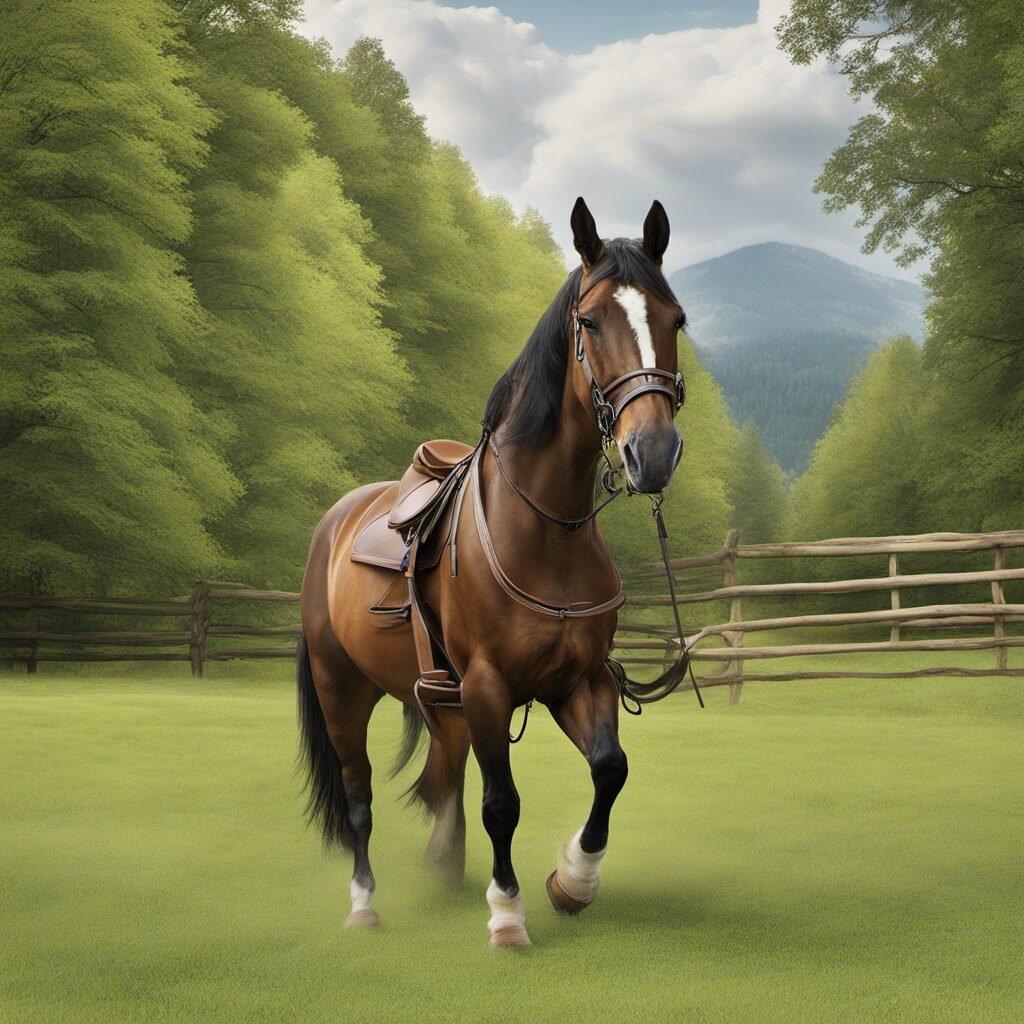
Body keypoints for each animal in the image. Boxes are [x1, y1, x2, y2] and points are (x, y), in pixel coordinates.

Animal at [297, 197, 687, 948]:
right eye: (590, 323)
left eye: (674, 319)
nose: (651, 451)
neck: (548, 528)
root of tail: (336, 520)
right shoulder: (486, 685)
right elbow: (501, 803)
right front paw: (507, 912)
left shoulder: (578, 680)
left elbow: (610, 770)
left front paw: (572, 880)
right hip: (343, 689)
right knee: (359, 797)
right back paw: (364, 903)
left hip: (437, 696)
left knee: (443, 772)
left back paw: (446, 869)